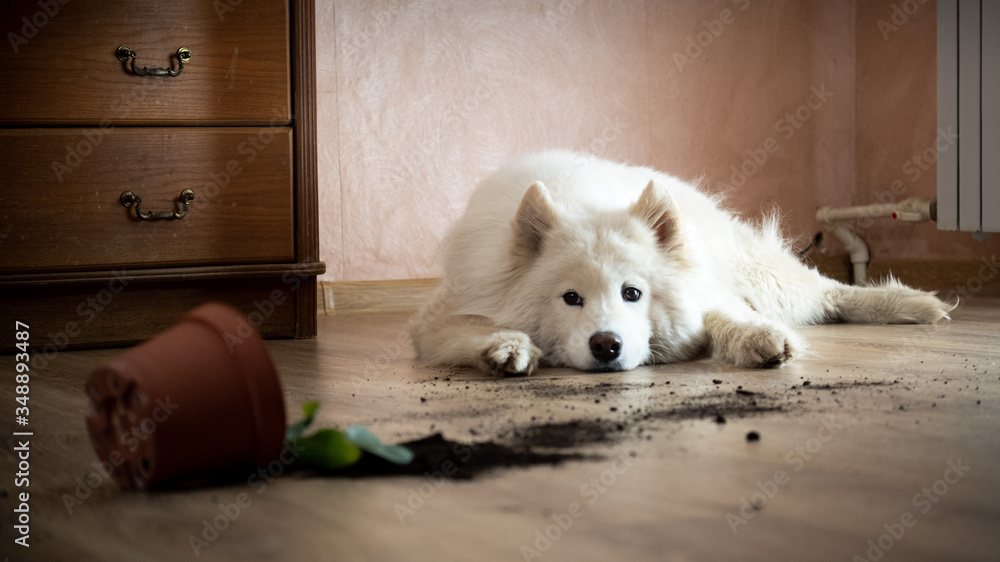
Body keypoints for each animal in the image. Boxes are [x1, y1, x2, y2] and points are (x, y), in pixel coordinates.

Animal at [410, 151, 948, 374]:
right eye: (571, 298)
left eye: (632, 293)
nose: (606, 345)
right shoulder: (450, 310)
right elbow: (465, 330)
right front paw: (505, 347)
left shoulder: (706, 292)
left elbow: (727, 316)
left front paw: (760, 339)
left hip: (761, 274)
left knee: (828, 293)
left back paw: (915, 304)